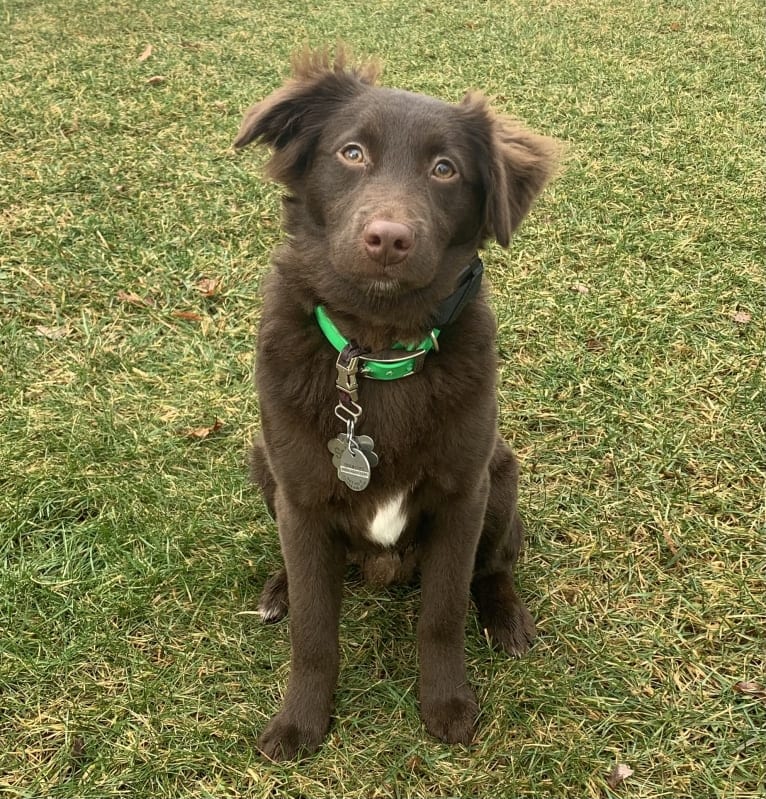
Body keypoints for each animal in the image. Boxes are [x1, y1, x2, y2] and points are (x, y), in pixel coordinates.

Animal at [234, 47, 560, 760]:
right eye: (352, 153)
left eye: (445, 169)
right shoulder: (301, 496)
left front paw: (447, 704)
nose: (388, 238)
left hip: (502, 478)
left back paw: (506, 617)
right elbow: (313, 630)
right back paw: (278, 587)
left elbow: (442, 613)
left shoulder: (462, 495)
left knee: (495, 566)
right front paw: (300, 721)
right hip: (264, 464)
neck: (378, 354)